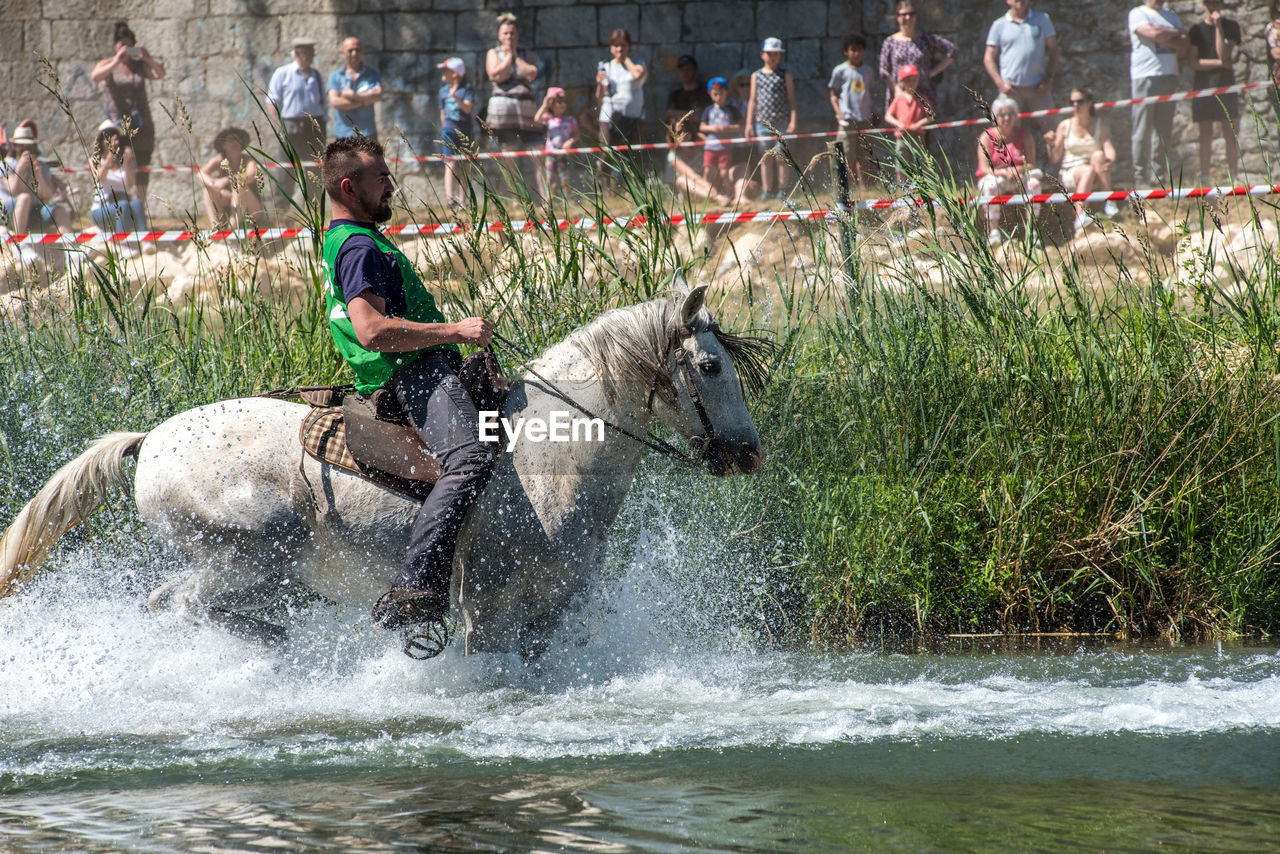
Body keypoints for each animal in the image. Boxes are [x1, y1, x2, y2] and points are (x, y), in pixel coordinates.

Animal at [0, 277, 768, 660]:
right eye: (709, 366)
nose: (749, 453)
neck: (552, 459)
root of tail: (149, 440)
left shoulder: (556, 603)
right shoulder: (488, 605)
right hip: (248, 553)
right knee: (174, 604)